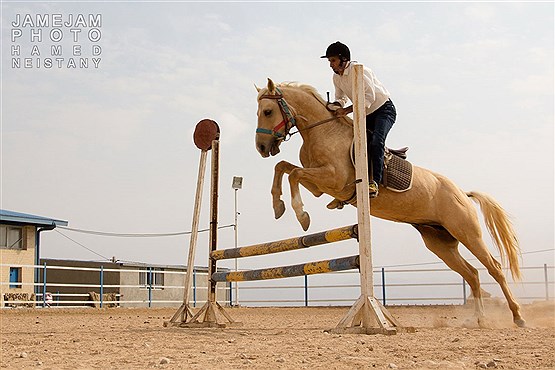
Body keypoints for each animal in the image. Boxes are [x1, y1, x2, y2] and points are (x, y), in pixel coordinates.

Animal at [255, 78, 524, 326]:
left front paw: (301, 215)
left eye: (267, 112)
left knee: (494, 268)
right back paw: (480, 319)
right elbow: (284, 168)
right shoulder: (319, 186)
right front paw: (278, 206)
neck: (322, 132)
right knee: (472, 274)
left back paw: (517, 316)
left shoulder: (332, 179)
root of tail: (462, 194)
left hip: (467, 232)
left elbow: (294, 174)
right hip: (440, 242)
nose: (261, 147)